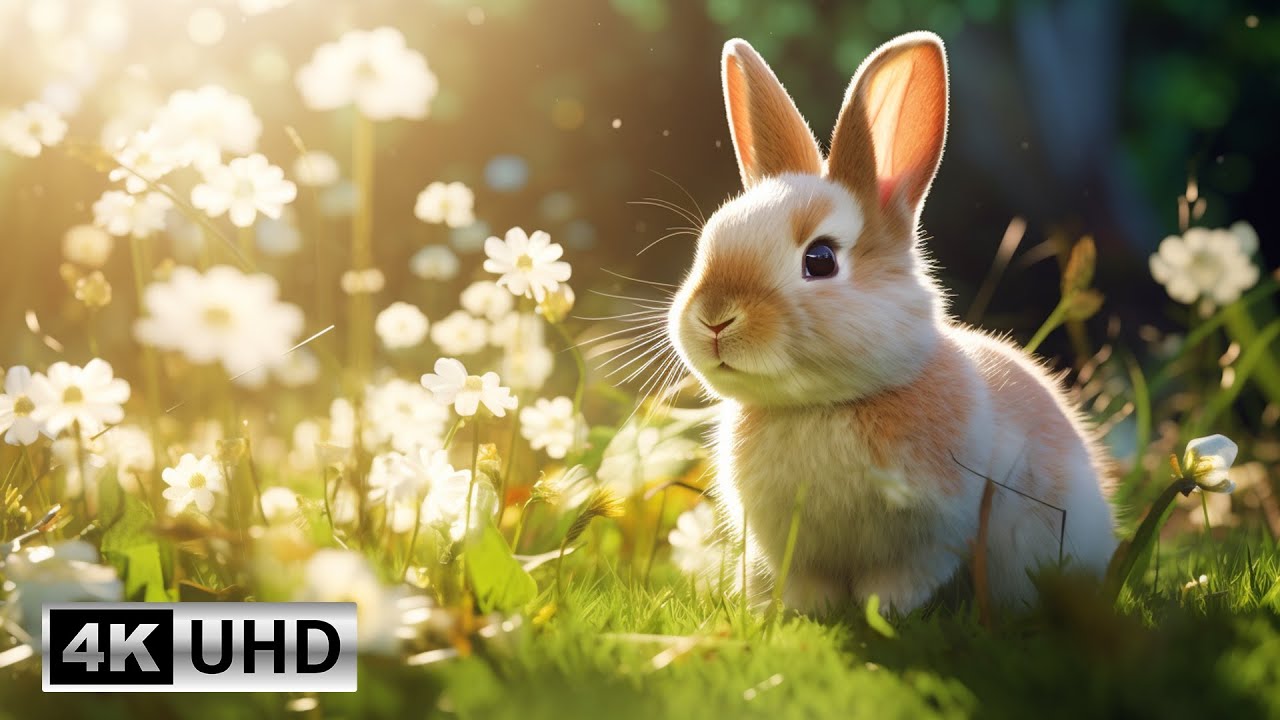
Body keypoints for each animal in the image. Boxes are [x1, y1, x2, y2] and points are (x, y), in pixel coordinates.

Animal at [665, 31, 1118, 614]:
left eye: (820, 260)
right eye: (709, 242)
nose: (714, 318)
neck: (820, 405)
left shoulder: (931, 536)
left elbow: (902, 579)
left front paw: (886, 612)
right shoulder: (794, 552)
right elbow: (808, 586)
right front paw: (806, 615)